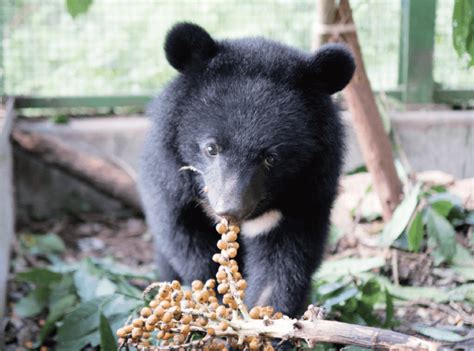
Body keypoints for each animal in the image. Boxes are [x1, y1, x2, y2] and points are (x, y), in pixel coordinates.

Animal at [141, 22, 356, 320]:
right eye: (211, 148)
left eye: (271, 158)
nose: (229, 209)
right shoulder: (171, 178)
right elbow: (185, 239)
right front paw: (216, 303)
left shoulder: (308, 189)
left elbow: (285, 260)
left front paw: (267, 317)